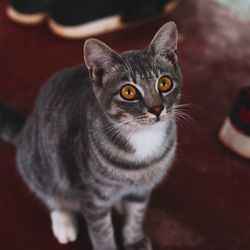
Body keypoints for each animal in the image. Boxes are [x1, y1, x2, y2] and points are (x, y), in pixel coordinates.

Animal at [0, 21, 182, 250]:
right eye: (129, 92)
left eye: (164, 83)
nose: (157, 109)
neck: (142, 139)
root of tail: (27, 127)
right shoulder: (93, 198)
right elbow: (102, 232)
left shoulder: (142, 190)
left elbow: (136, 215)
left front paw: (133, 240)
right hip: (40, 166)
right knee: (50, 194)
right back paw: (63, 221)